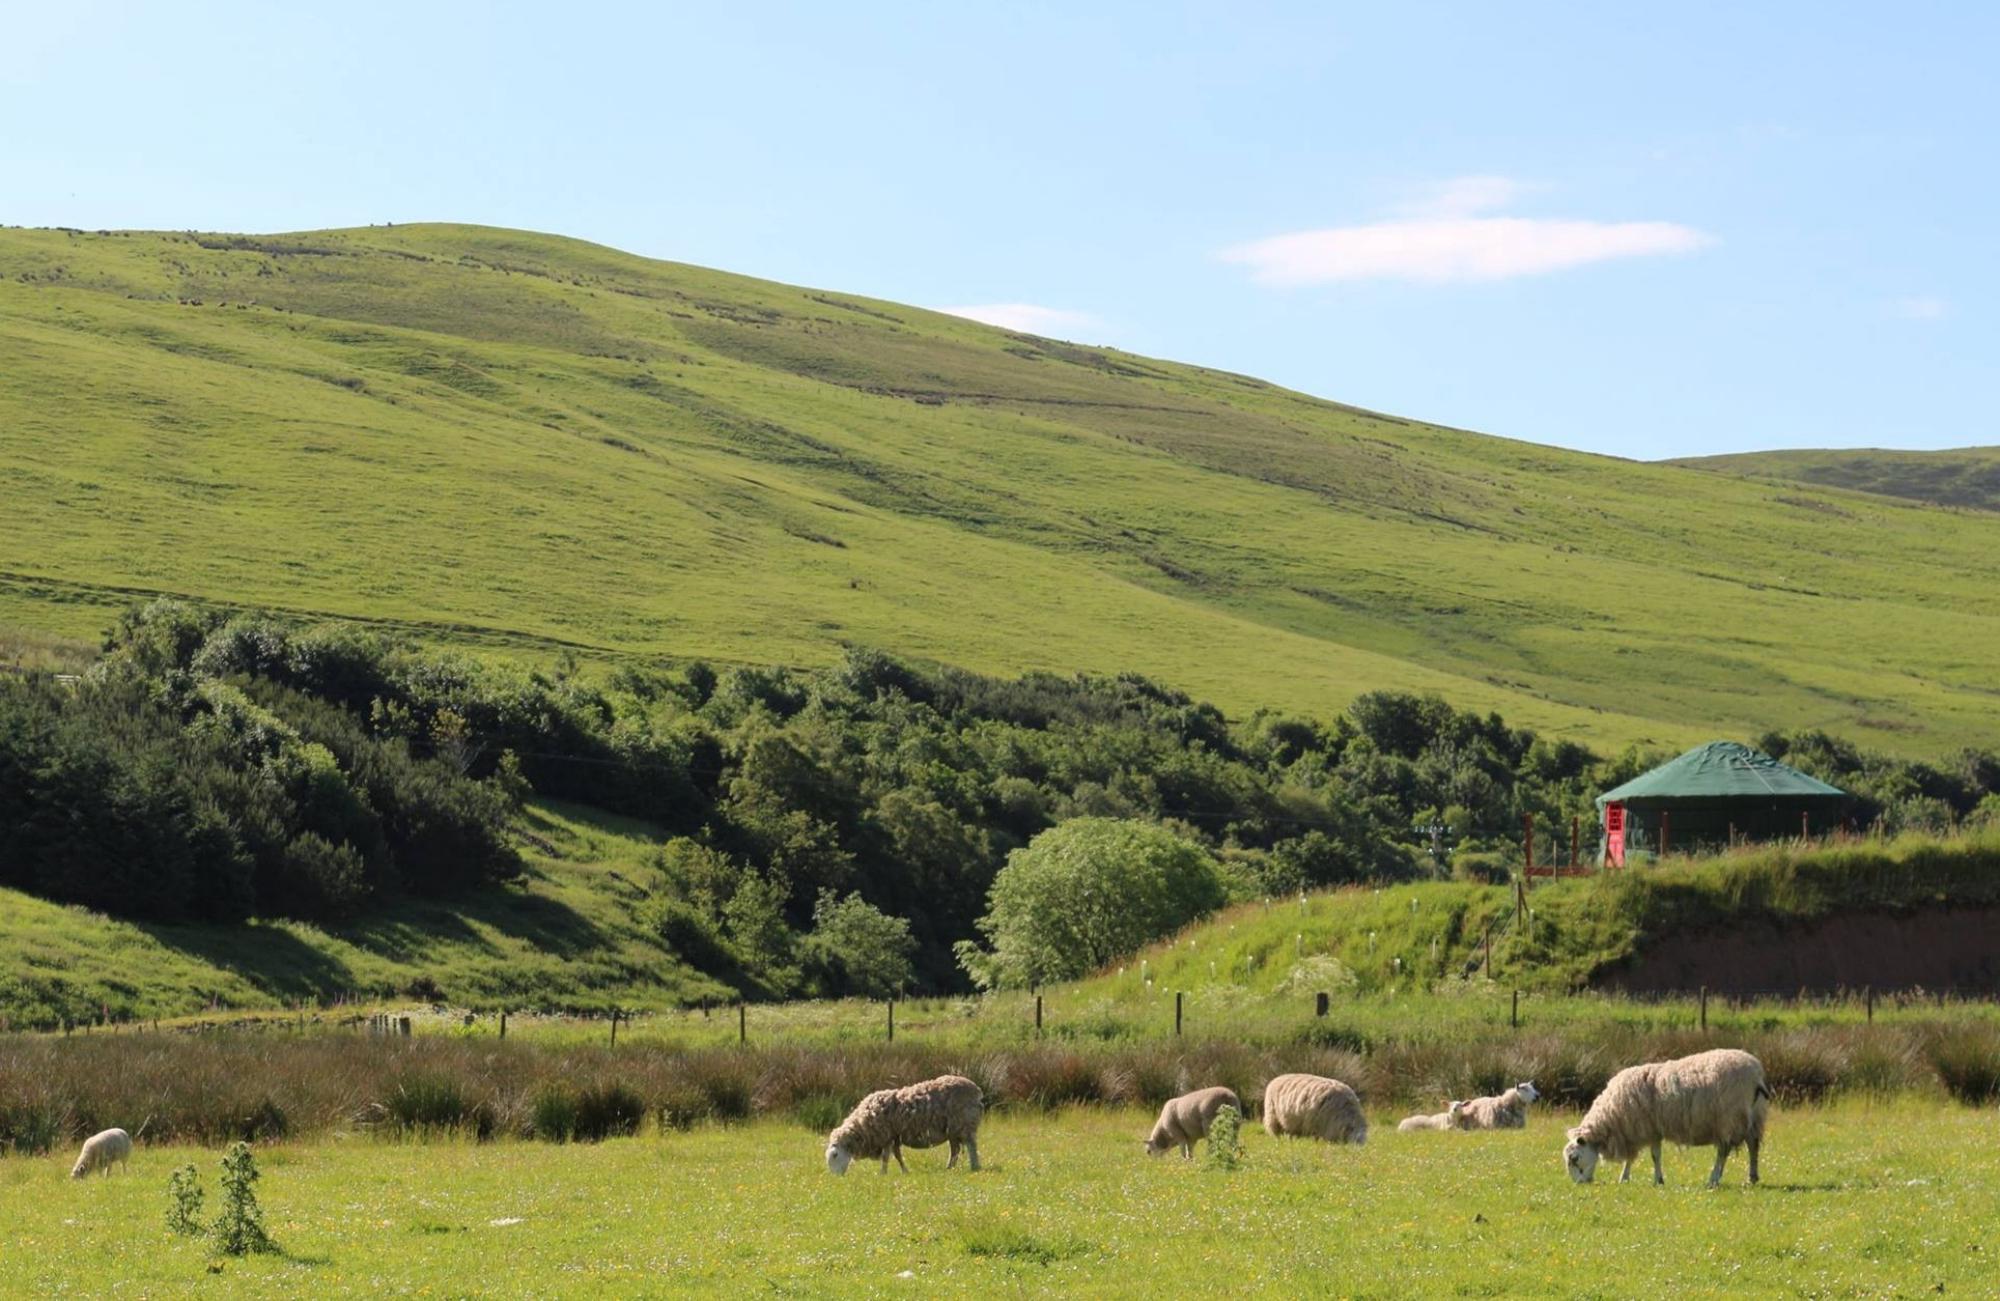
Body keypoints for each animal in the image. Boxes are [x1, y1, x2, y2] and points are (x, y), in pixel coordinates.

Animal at [824, 1072, 988, 1168]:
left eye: (835, 1155)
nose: (837, 1179)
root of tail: (977, 1091)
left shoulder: (887, 1137)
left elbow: (886, 1157)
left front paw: (883, 1174)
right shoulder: (894, 1137)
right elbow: (897, 1156)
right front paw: (903, 1171)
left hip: (964, 1124)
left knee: (971, 1147)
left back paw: (974, 1167)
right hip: (952, 1130)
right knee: (955, 1150)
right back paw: (949, 1168)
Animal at [1560, 1040, 1768, 1184]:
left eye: (1574, 1158)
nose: (1579, 1184)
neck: (1612, 1117)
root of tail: (1756, 1074)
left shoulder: (1645, 1128)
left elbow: (1653, 1156)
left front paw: (1656, 1180)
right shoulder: (1647, 1130)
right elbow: (1636, 1157)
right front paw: (1626, 1178)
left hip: (1729, 1118)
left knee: (1723, 1151)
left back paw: (1714, 1179)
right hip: (1754, 1117)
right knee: (1753, 1146)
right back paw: (1752, 1177)